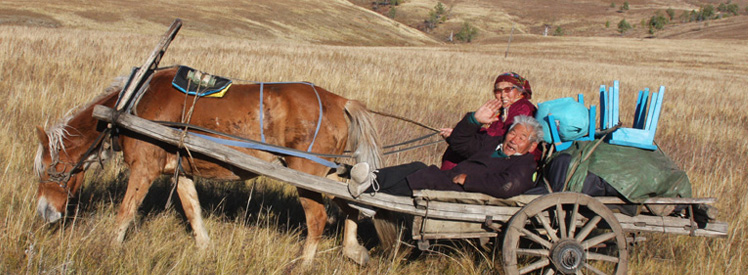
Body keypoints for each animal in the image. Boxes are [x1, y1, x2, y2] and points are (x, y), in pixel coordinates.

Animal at [32, 67, 382, 268]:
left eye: (51, 168)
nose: (46, 212)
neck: (130, 105)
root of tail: (339, 100)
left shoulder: (144, 169)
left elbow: (126, 212)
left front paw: (109, 249)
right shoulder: (181, 172)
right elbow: (192, 210)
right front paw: (204, 248)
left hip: (306, 173)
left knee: (319, 218)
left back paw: (305, 264)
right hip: (323, 172)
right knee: (351, 199)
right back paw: (354, 250)